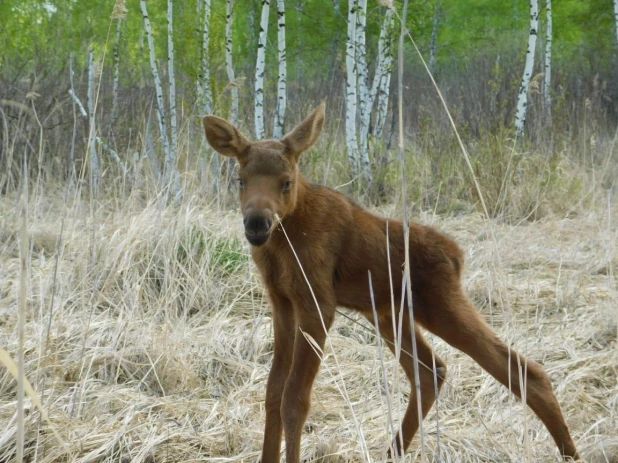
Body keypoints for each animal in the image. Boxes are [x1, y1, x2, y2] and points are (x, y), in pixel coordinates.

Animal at [203, 106, 576, 463]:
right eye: (240, 180)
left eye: (286, 182)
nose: (257, 223)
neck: (283, 244)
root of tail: (457, 255)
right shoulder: (281, 302)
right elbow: (272, 393)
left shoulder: (317, 302)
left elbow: (295, 399)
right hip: (390, 314)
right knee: (431, 370)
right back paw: (393, 451)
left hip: (441, 306)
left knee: (527, 371)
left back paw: (570, 452)